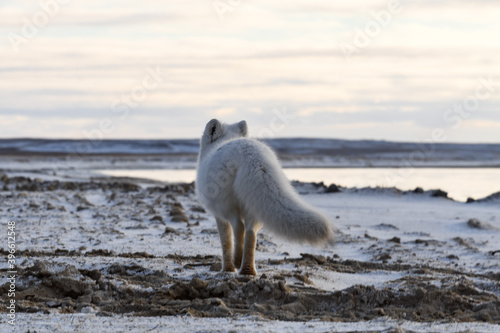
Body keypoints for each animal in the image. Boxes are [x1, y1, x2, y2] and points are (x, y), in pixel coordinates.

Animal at [195, 119, 332, 274]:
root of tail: (252, 155)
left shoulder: (219, 215)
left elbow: (226, 242)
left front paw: (227, 270)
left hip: (228, 205)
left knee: (239, 227)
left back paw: (238, 262)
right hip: (256, 206)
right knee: (251, 234)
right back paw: (248, 271)